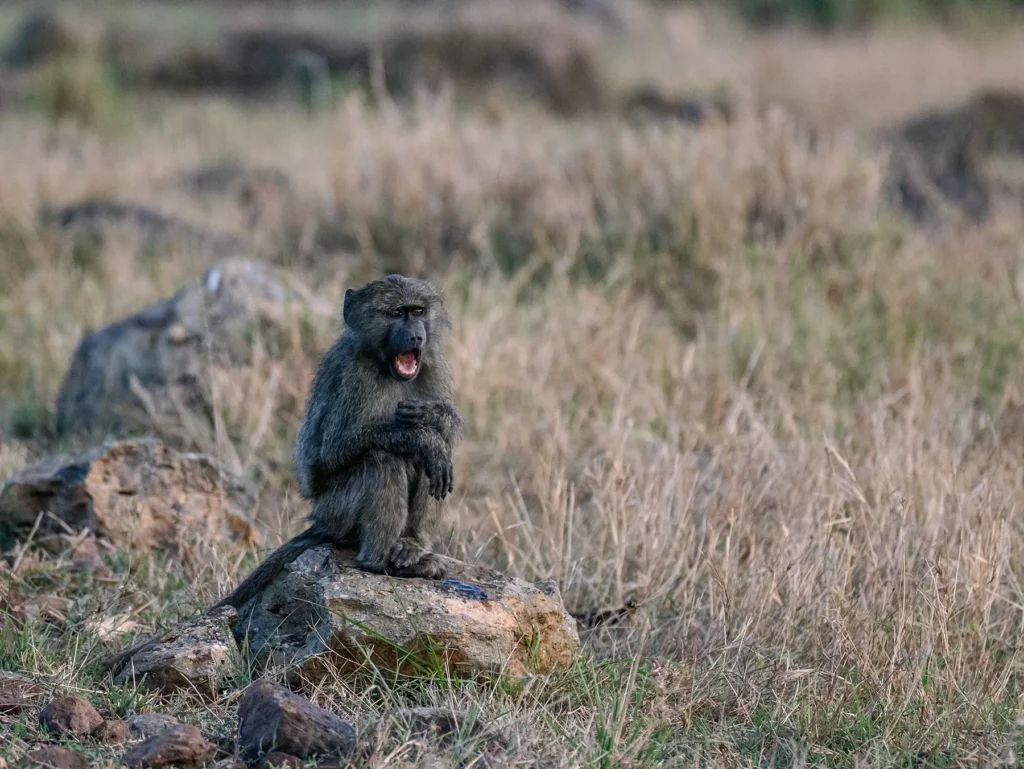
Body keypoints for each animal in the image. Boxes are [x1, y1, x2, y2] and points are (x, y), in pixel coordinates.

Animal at [211, 274, 464, 611]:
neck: (383, 363)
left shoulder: (433, 364)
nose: (415, 337)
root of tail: (321, 520)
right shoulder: (357, 376)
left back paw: (411, 546)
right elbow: (335, 448)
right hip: (337, 510)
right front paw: (422, 438)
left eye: (418, 311)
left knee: (431, 464)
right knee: (386, 459)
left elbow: (446, 433)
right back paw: (380, 560)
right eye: (397, 313)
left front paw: (433, 416)